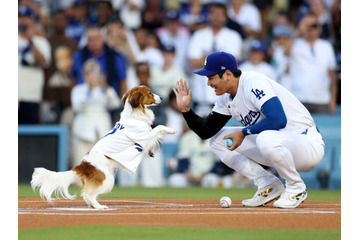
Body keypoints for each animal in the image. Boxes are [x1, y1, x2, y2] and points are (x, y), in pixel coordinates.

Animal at [30, 85, 176, 209]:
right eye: (150, 92)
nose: (162, 97)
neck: (133, 115)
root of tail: (82, 165)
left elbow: (153, 134)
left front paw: (151, 152)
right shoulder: (143, 137)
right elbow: (158, 128)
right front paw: (171, 130)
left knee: (87, 196)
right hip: (108, 180)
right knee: (88, 194)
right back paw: (99, 206)